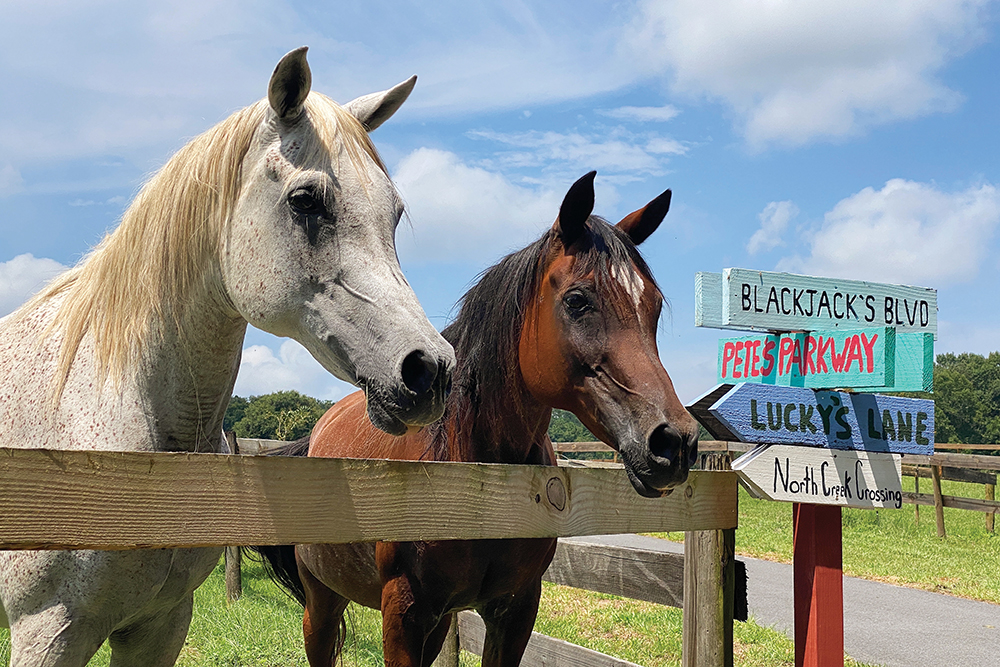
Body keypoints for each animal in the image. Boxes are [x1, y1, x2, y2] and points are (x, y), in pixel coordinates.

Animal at [255, 171, 699, 667]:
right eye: (578, 301)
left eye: (654, 306)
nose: (673, 441)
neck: (477, 477)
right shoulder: (403, 612)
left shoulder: (514, 609)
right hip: (323, 600)